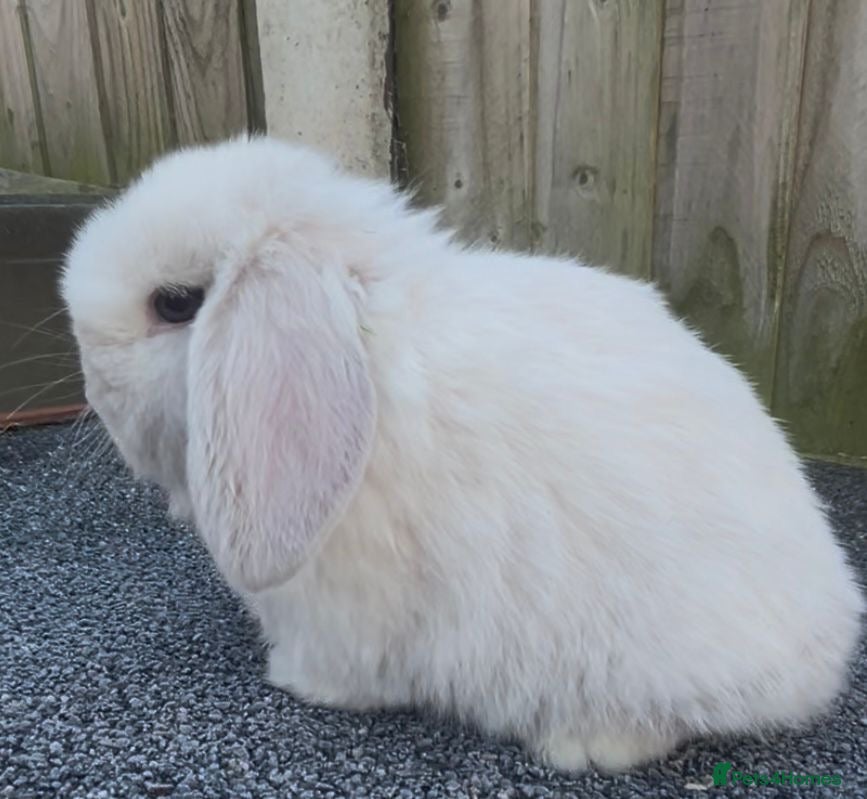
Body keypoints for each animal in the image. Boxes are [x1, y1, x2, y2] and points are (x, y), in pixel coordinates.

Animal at [62, 135, 864, 773]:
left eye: (174, 303)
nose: (92, 382)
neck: (365, 351)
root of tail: (826, 646)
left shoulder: (340, 613)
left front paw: (289, 678)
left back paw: (582, 743)